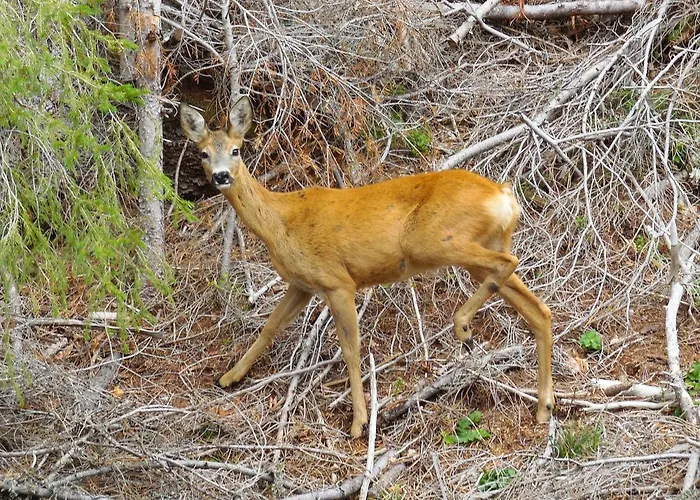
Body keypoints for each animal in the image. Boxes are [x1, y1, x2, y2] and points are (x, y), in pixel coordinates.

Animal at [180, 95, 554, 438]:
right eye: (203, 153)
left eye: (236, 150)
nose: (221, 176)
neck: (281, 222)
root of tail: (504, 195)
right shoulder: (302, 283)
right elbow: (270, 327)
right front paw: (228, 377)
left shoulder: (337, 281)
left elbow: (351, 348)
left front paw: (360, 422)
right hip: (478, 245)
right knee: (538, 308)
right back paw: (544, 407)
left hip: (434, 240)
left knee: (509, 264)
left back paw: (463, 326)